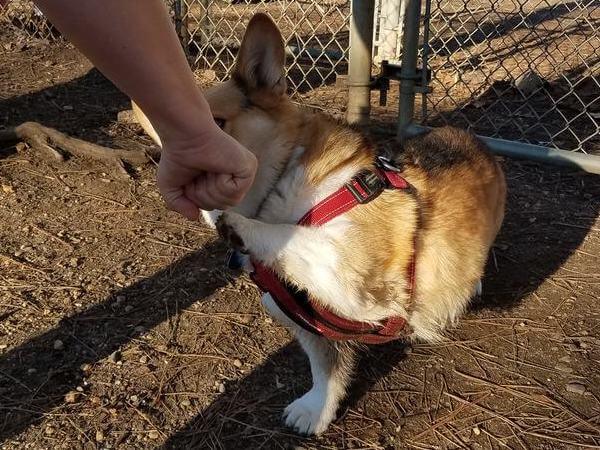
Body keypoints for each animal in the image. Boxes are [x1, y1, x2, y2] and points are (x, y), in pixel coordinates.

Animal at [132, 13, 506, 436]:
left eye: (218, 123)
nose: (165, 167)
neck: (281, 184)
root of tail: (471, 138)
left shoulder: (352, 276)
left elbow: (284, 235)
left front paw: (235, 224)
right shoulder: (297, 311)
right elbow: (324, 368)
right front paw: (316, 410)